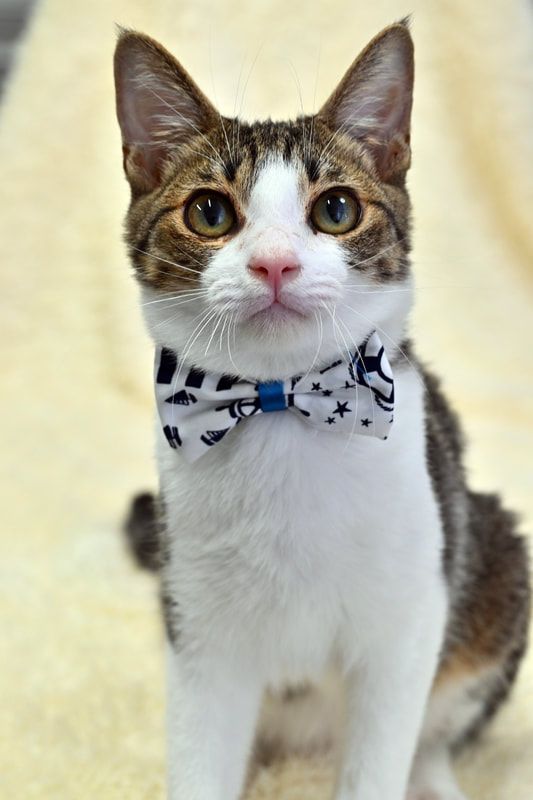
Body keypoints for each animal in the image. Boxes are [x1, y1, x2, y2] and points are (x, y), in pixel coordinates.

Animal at [112, 18, 528, 800]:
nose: (275, 262)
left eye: (336, 209)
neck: (281, 409)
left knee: (434, 729)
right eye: (209, 211)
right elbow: (200, 753)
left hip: (490, 558)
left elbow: (383, 751)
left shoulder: (407, 610)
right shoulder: (197, 624)